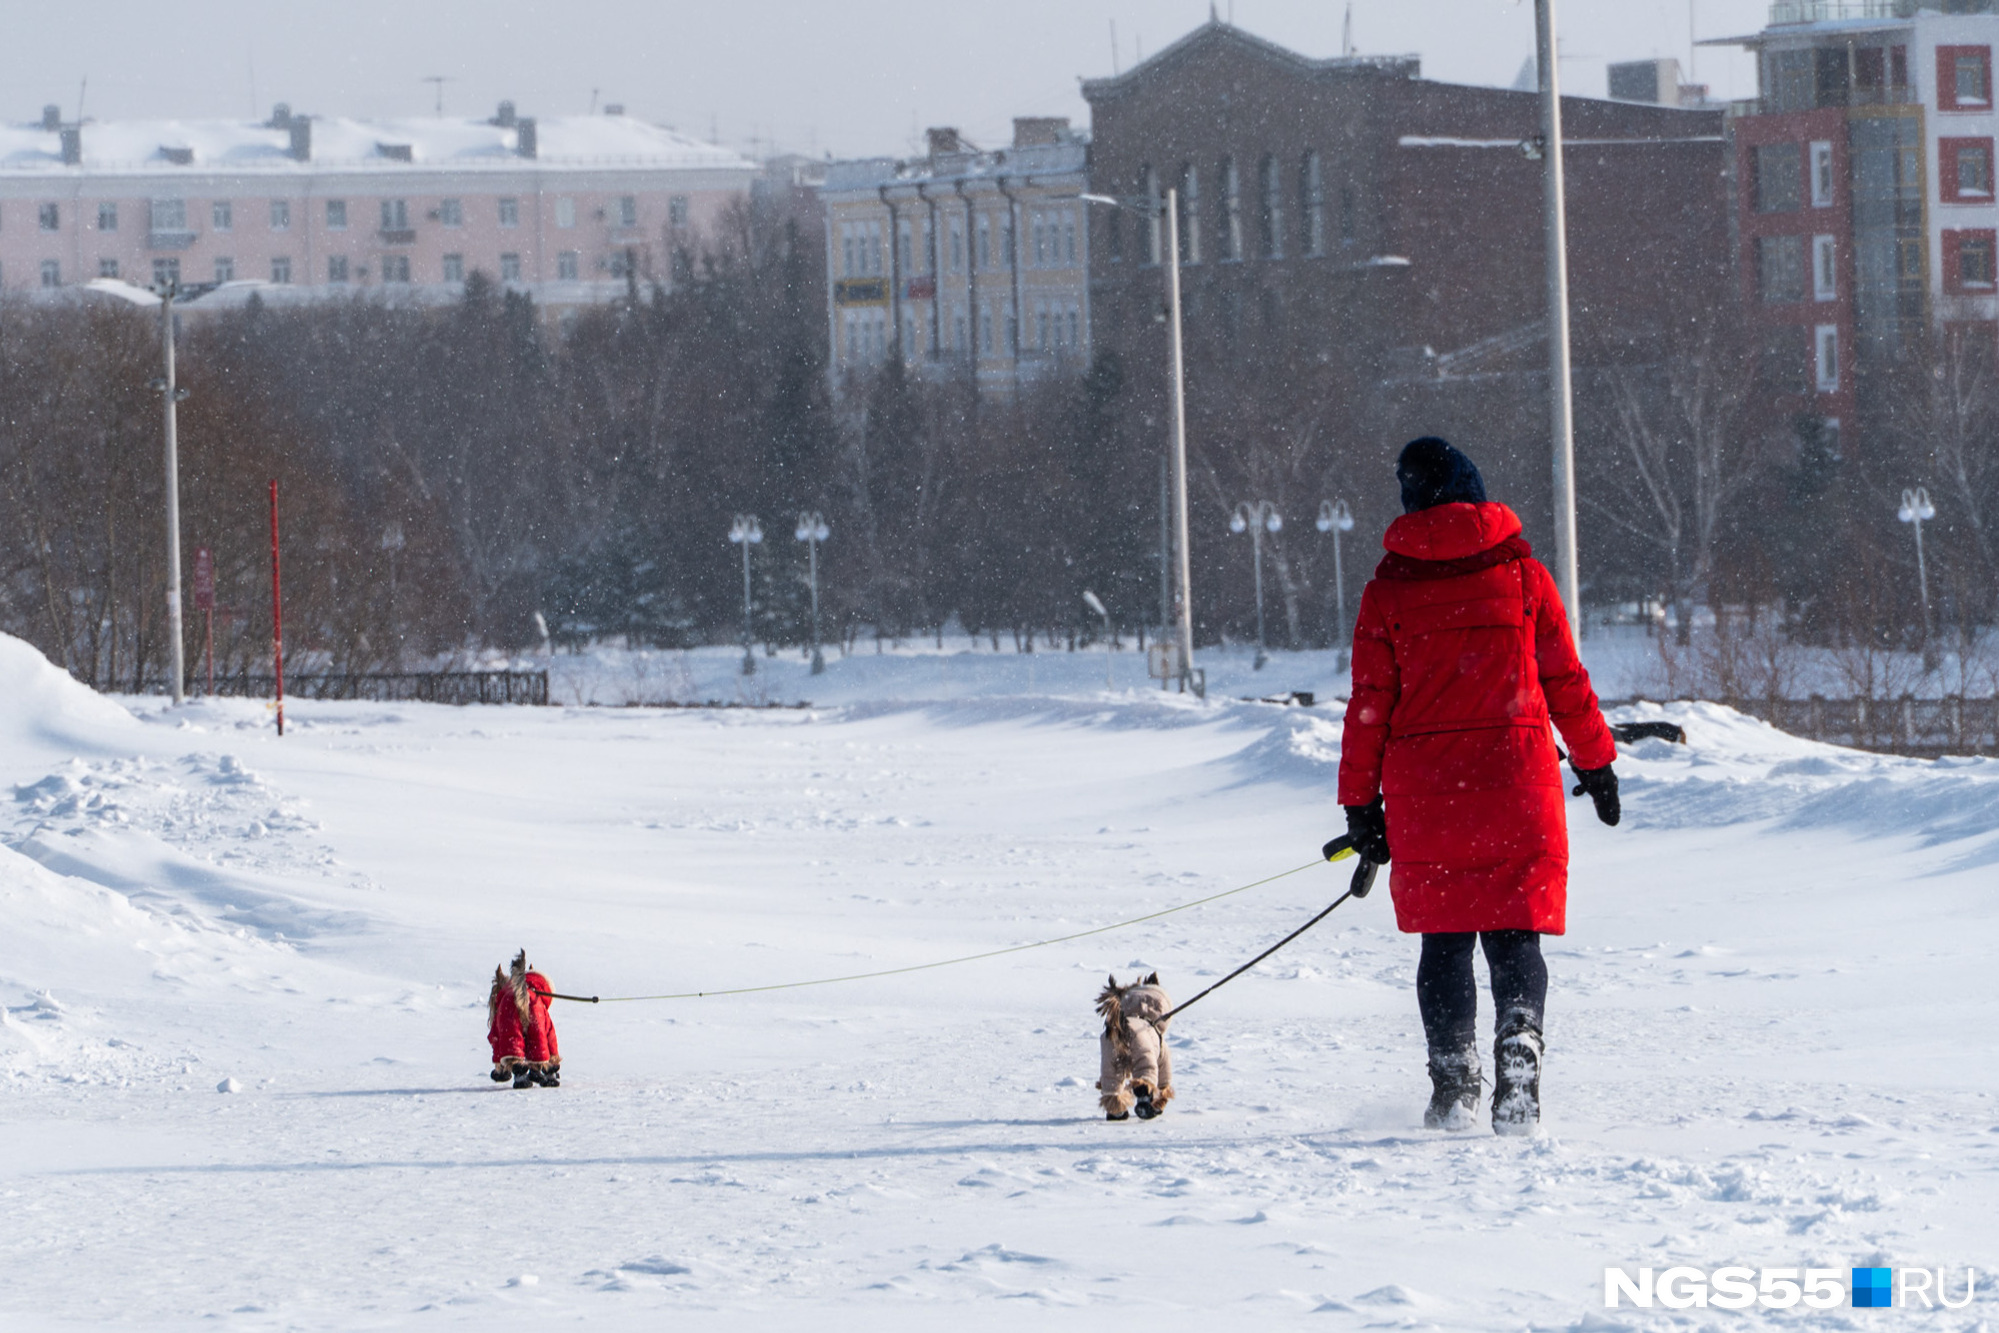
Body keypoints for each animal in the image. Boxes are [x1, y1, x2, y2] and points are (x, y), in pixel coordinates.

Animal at [489, 947, 563, 1087]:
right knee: (544, 1057)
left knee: (516, 1059)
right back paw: (547, 1080)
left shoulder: (497, 1034)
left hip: (512, 1030)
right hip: (538, 1030)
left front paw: (500, 1074)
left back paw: (522, 1082)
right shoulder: (548, 1029)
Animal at [1095, 975, 1167, 1119]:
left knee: (1111, 1089)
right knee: (1143, 1085)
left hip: (1110, 1060)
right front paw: (1159, 1104)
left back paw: (1117, 1114)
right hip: (1143, 1056)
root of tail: (1123, 1028)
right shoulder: (1162, 1058)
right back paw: (1145, 1111)